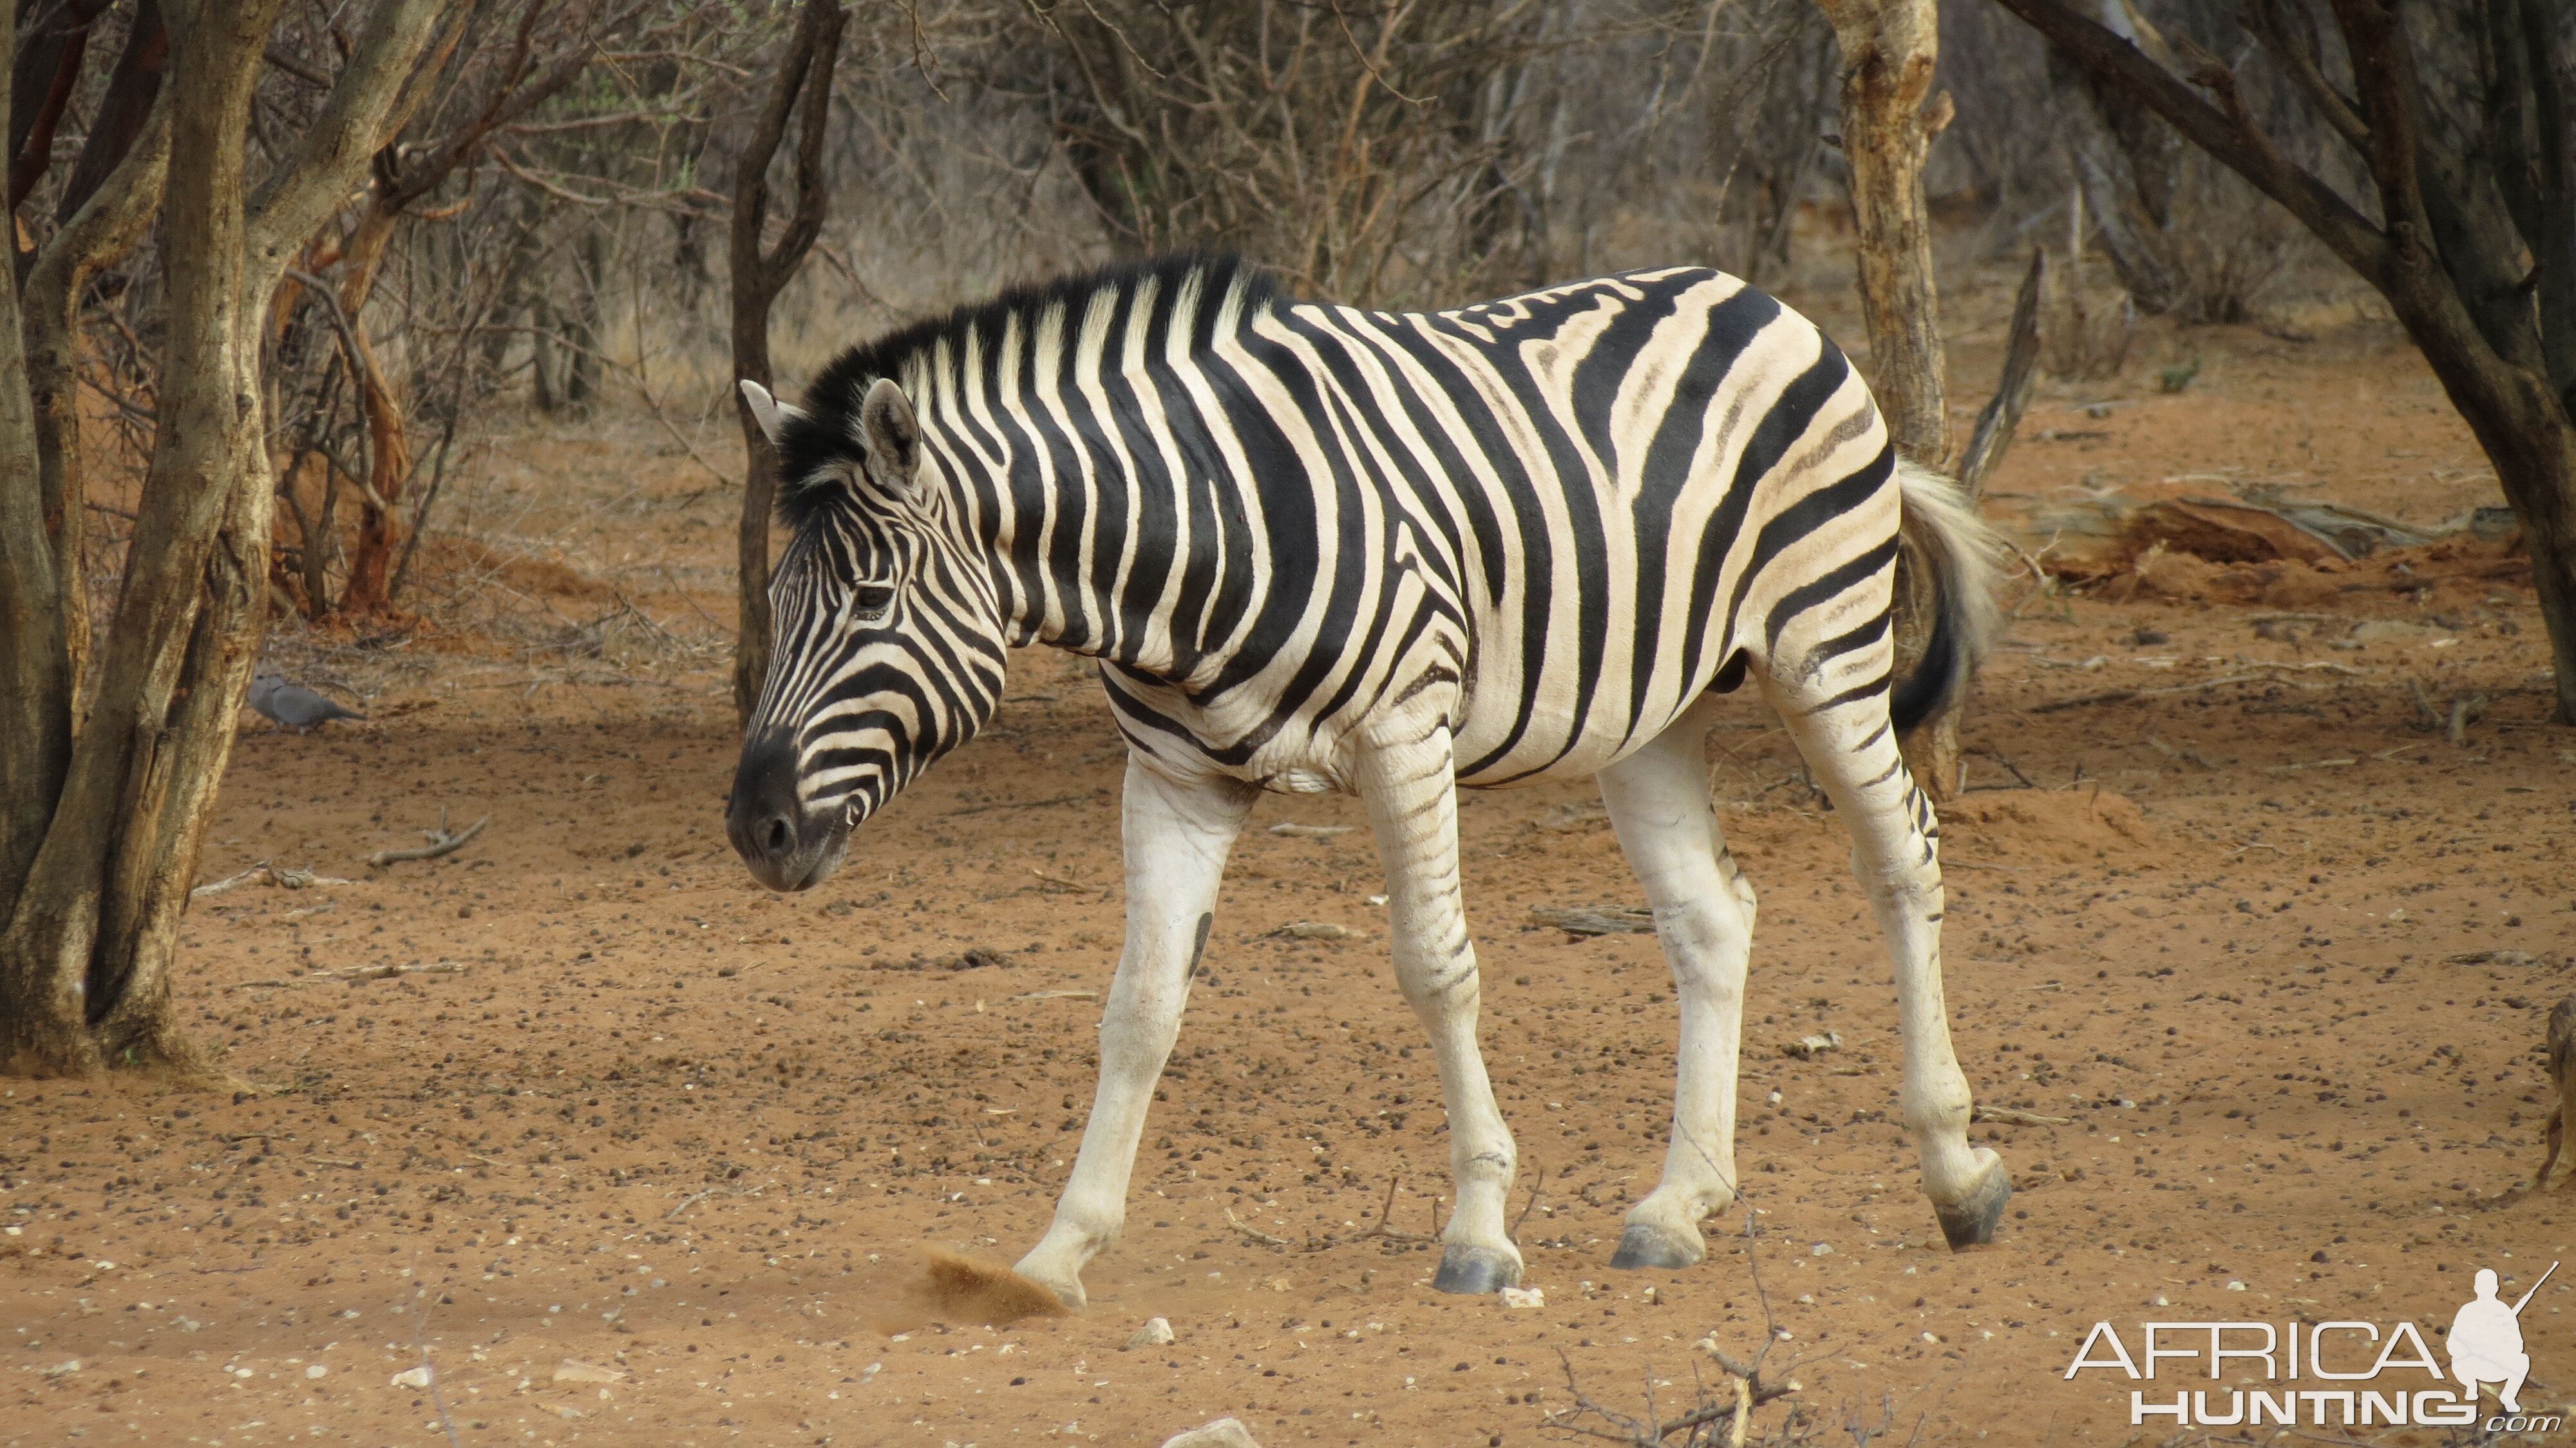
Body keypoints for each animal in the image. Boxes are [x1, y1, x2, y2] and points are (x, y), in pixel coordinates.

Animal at [726, 254, 2009, 1304]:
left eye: (871, 601)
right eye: (778, 599)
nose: (756, 828)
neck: (1188, 549)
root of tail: (1757, 296)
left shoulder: (1405, 731)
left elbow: (1436, 971)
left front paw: (1480, 1233)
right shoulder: (1172, 779)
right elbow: (1138, 1008)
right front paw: (1055, 1255)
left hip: (1821, 646)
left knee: (1904, 862)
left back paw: (1957, 1172)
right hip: (1653, 710)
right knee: (1710, 918)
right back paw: (1677, 1206)